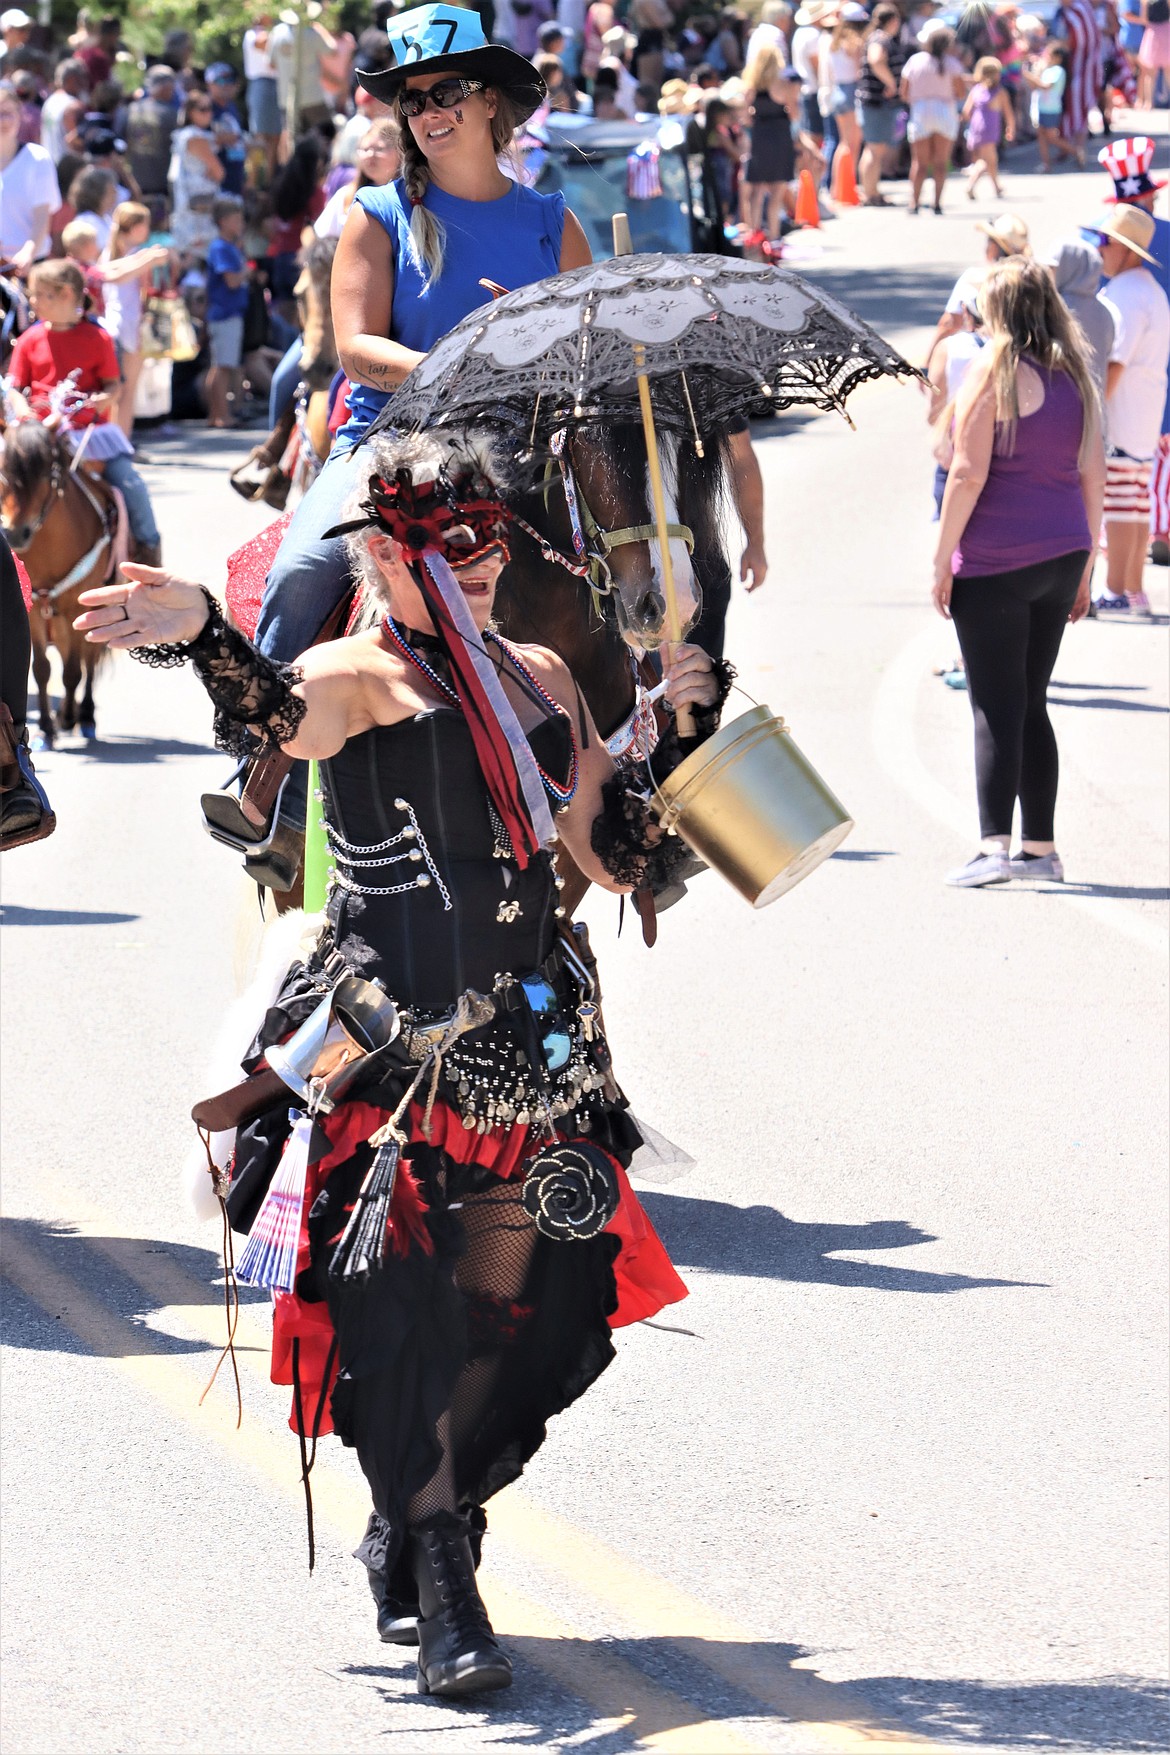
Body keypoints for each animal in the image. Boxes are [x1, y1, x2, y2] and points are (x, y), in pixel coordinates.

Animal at [0, 428, 117, 751]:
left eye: (45, 474)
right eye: (2, 470)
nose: (14, 533)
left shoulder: (78, 607)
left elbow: (74, 671)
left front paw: (67, 719)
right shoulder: (33, 613)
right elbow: (42, 669)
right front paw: (46, 728)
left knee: (88, 661)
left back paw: (84, 715)